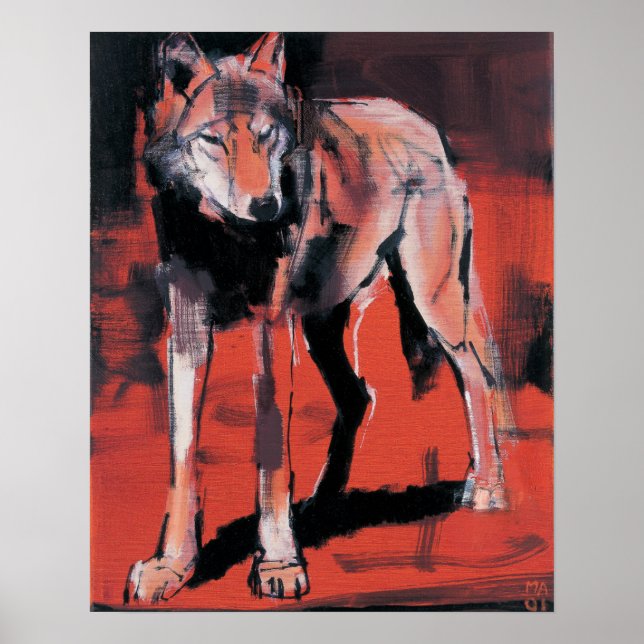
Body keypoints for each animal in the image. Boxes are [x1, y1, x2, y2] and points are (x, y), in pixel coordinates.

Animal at [125, 32, 515, 603]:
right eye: (214, 140)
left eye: (266, 136)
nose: (267, 207)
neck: (225, 237)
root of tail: (424, 126)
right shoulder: (188, 331)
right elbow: (182, 453)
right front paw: (172, 565)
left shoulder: (268, 328)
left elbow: (270, 452)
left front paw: (278, 563)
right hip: (320, 327)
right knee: (359, 396)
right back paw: (320, 504)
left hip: (433, 303)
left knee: (476, 377)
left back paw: (486, 487)